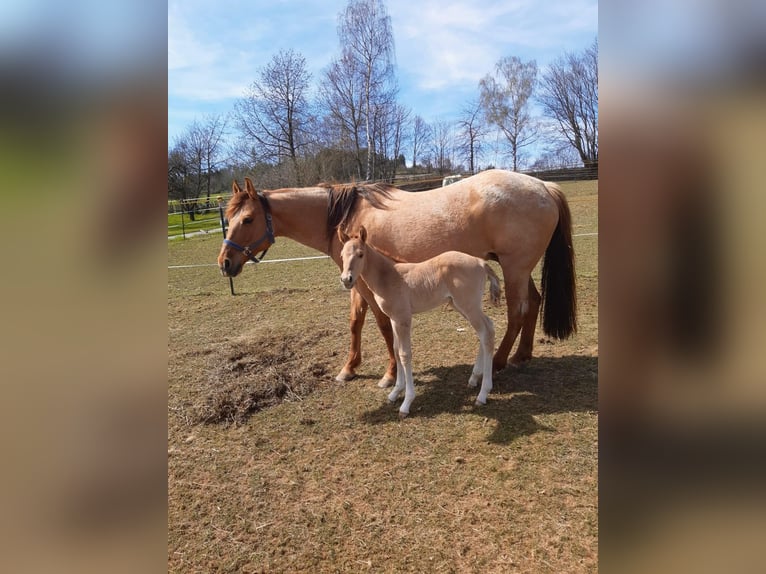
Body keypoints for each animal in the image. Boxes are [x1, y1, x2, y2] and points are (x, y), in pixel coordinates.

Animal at [217, 170, 576, 388]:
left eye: (247, 219)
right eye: (228, 218)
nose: (225, 262)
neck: (346, 216)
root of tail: (543, 186)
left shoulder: (369, 284)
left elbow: (380, 325)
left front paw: (391, 375)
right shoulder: (354, 281)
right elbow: (355, 323)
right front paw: (349, 368)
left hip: (514, 269)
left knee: (516, 312)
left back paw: (500, 361)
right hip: (519, 268)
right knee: (533, 304)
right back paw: (521, 356)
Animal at [339, 226, 500, 417]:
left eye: (361, 254)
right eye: (341, 255)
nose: (346, 280)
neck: (388, 276)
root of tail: (481, 263)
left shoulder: (403, 319)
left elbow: (404, 354)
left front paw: (406, 403)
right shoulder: (394, 319)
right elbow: (396, 350)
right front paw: (395, 393)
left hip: (469, 306)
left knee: (486, 333)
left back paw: (483, 394)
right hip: (463, 306)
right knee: (486, 329)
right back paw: (474, 379)